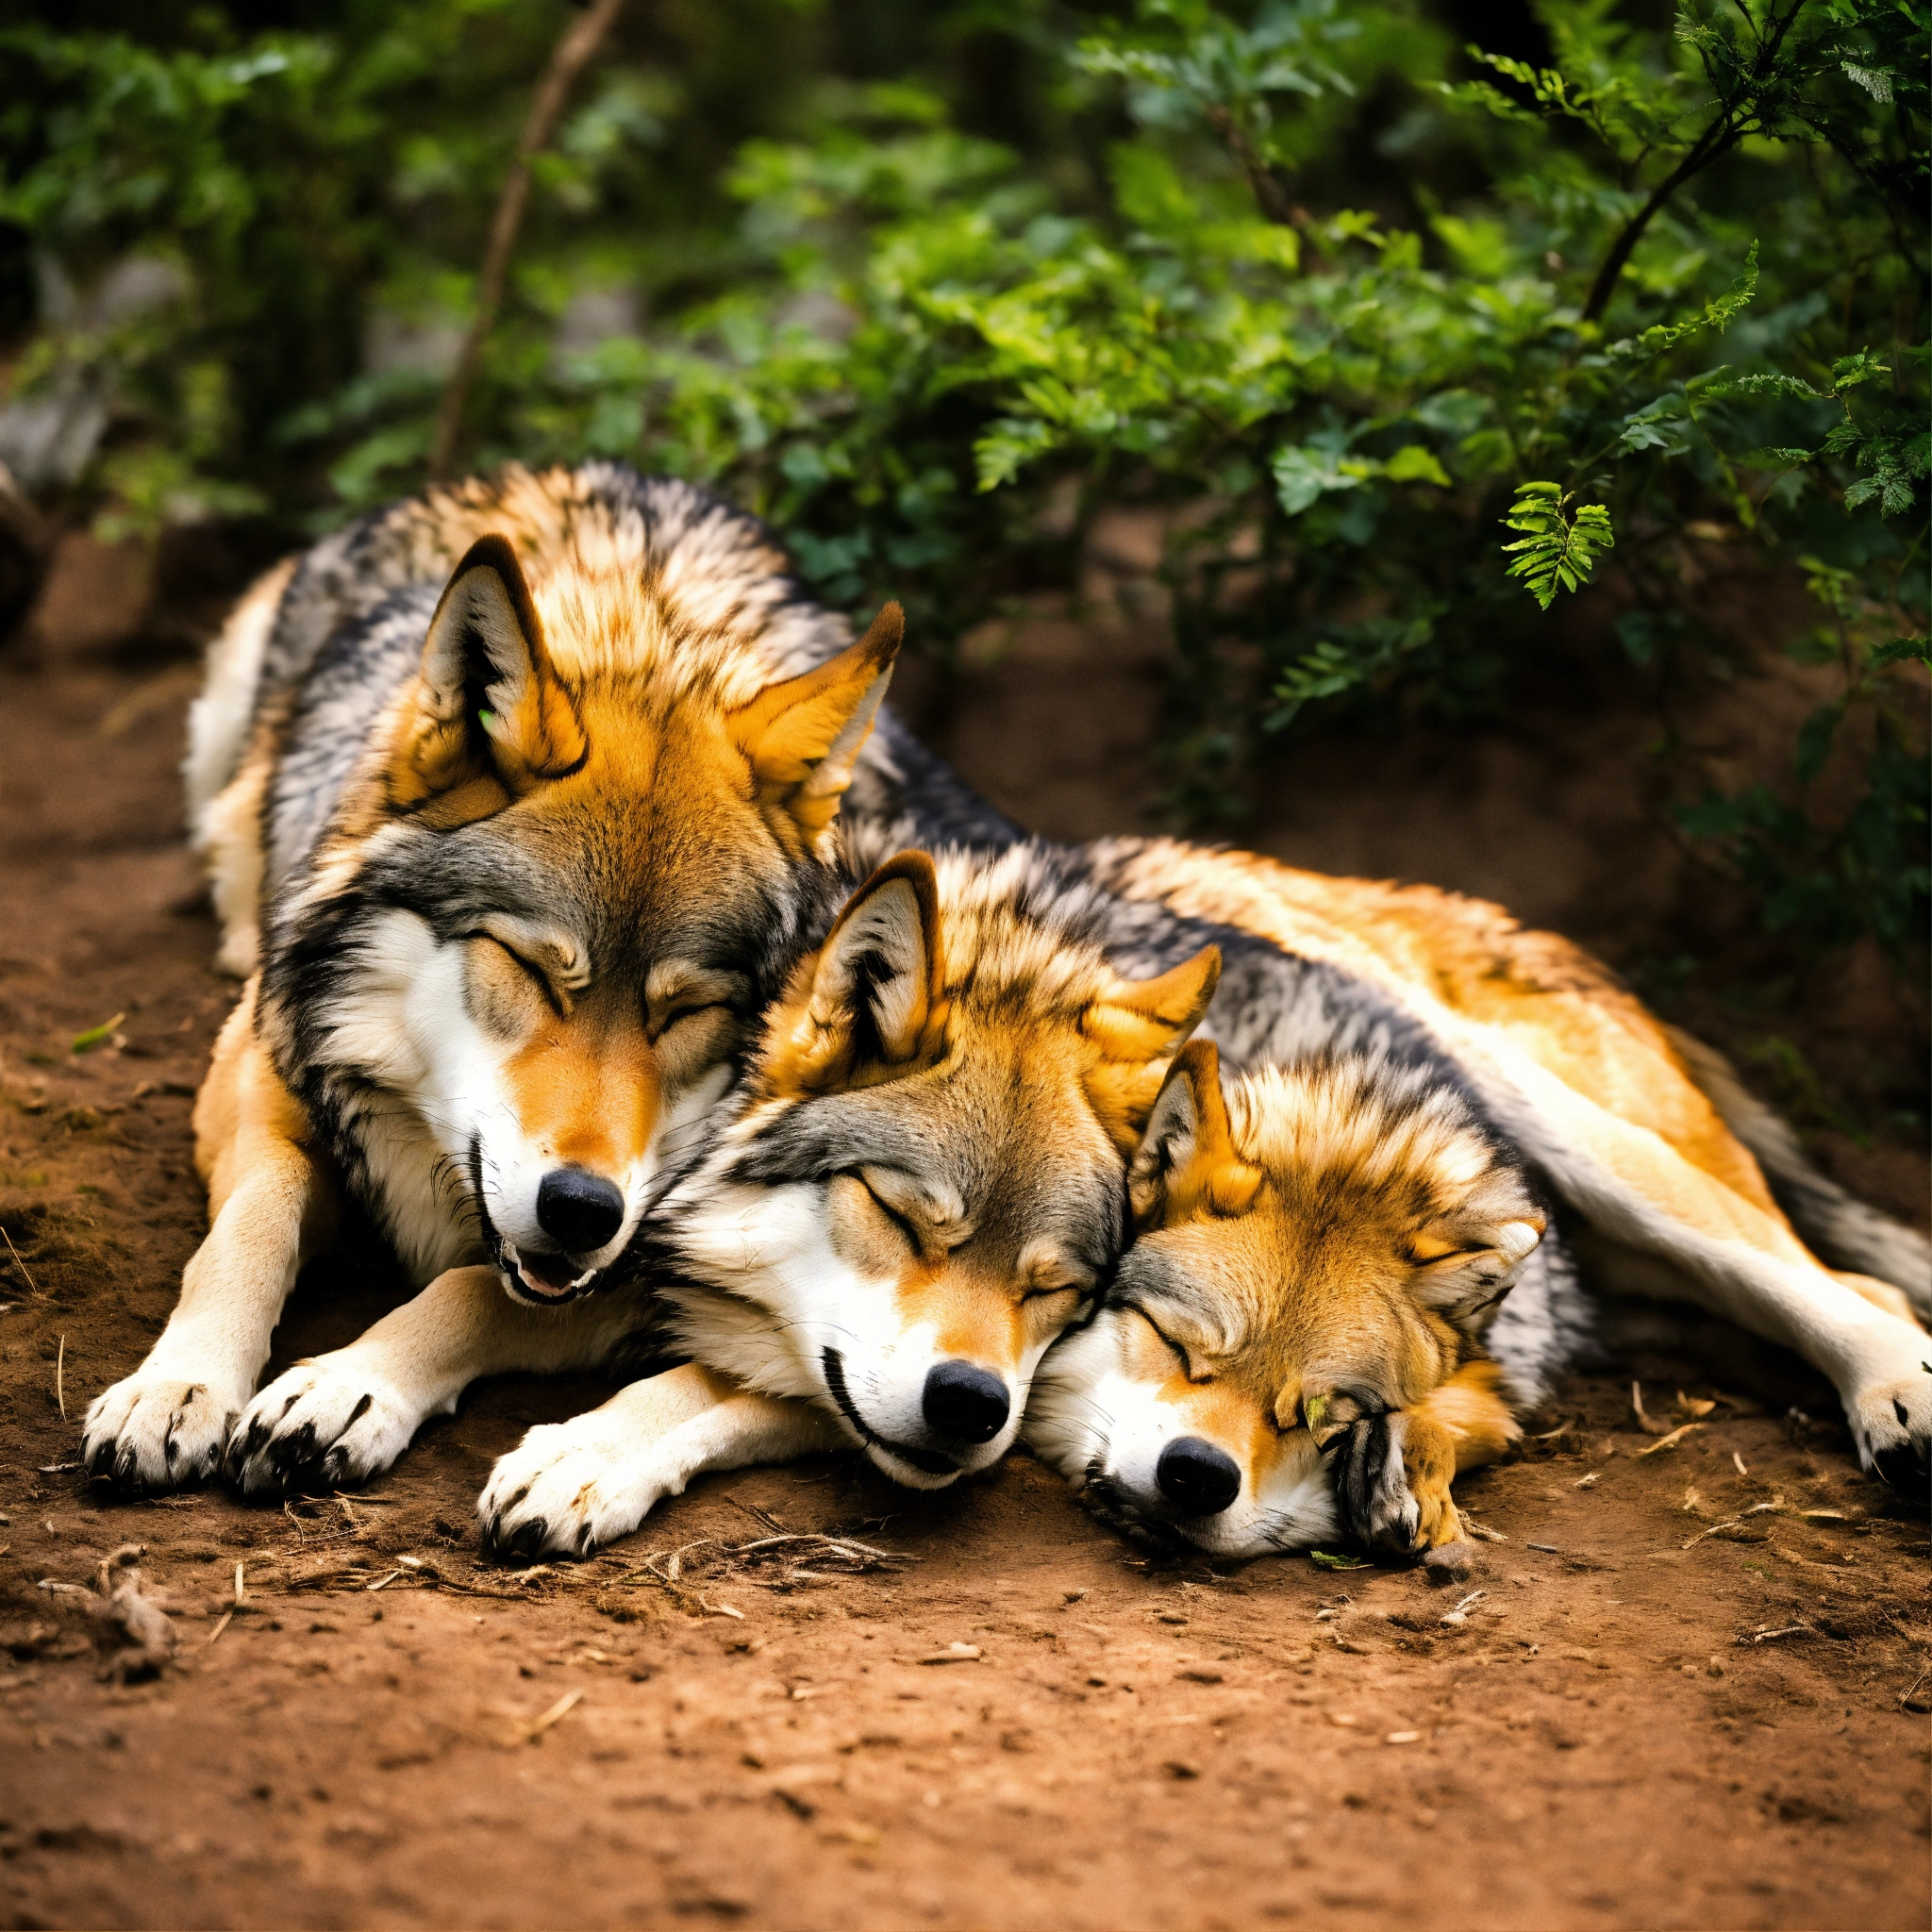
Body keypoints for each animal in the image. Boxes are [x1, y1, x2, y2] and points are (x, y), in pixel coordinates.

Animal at [82, 464, 920, 1494]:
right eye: (530, 968)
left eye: (688, 1009)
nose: (583, 1210)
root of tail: (587, 469)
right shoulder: (262, 1058)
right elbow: (256, 1214)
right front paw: (177, 1386)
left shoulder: (657, 1257)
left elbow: (475, 1286)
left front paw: (350, 1384)